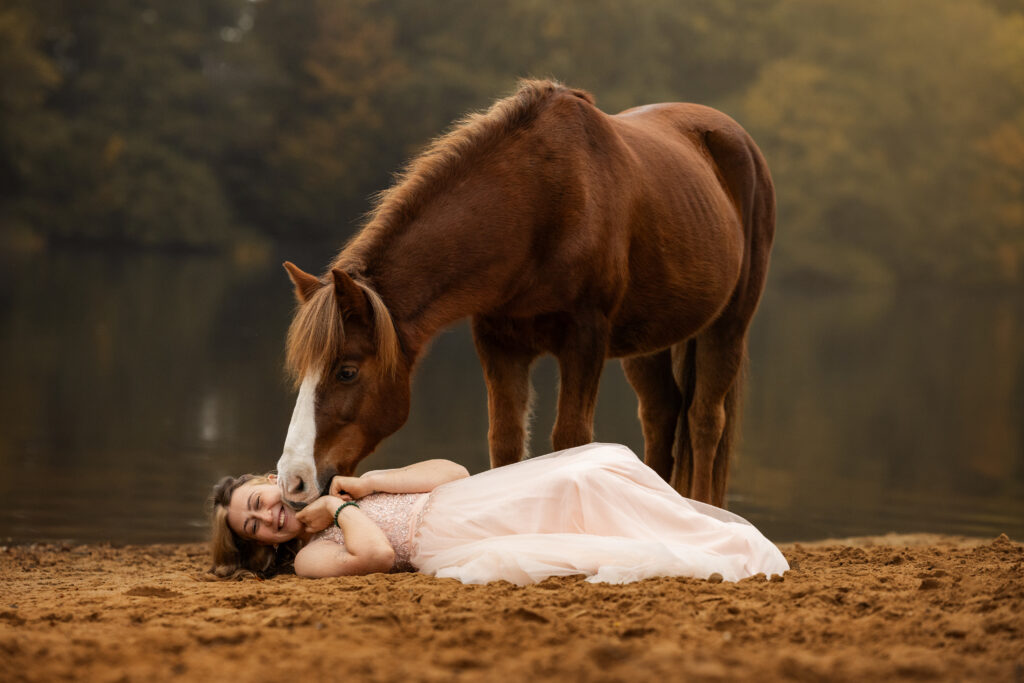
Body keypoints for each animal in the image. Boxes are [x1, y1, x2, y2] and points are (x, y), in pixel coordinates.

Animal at [275, 79, 775, 509]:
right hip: (647, 342)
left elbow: (571, 439)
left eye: (346, 371)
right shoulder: (500, 342)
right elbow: (505, 440)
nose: (293, 480)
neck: (540, 203)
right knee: (662, 416)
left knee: (705, 421)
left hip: (728, 326)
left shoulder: (584, 339)